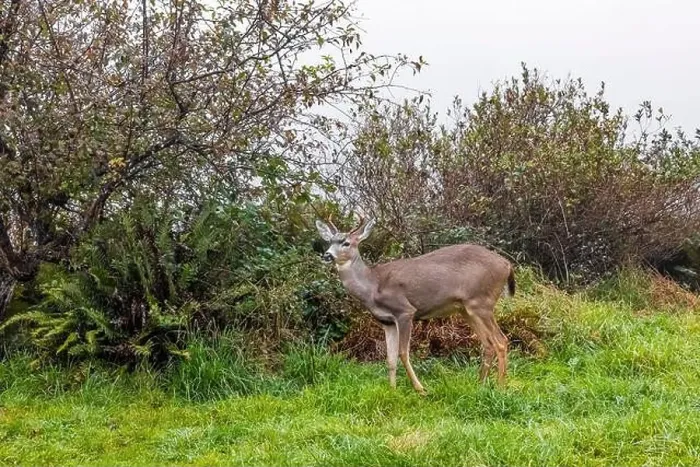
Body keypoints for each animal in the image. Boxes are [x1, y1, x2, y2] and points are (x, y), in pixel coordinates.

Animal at [315, 213, 515, 395]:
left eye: (346, 243)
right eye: (329, 242)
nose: (327, 255)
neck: (372, 286)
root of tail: (507, 265)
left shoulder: (404, 311)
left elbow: (403, 352)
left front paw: (420, 389)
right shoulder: (386, 321)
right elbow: (390, 358)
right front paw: (393, 390)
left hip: (482, 302)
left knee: (501, 341)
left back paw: (500, 387)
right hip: (466, 309)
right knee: (487, 344)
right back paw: (480, 385)